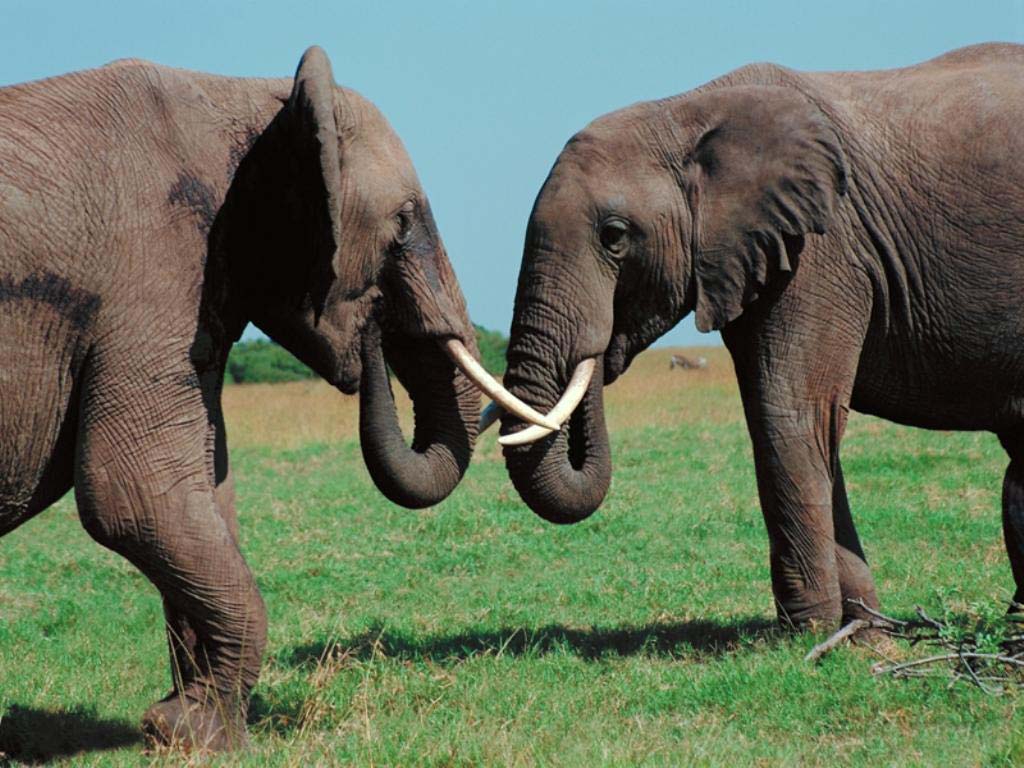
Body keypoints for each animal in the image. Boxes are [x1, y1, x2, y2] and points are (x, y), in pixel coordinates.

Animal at [0, 46, 550, 751]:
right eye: (402, 224)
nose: (371, 331)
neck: (250, 97)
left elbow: (206, 492)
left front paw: (189, 729)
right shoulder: (151, 275)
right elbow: (133, 495)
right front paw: (191, 731)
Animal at [489, 43, 1024, 633]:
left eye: (614, 237)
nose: (601, 350)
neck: (685, 112)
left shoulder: (822, 248)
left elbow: (788, 413)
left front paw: (814, 632)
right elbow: (784, 418)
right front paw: (862, 634)